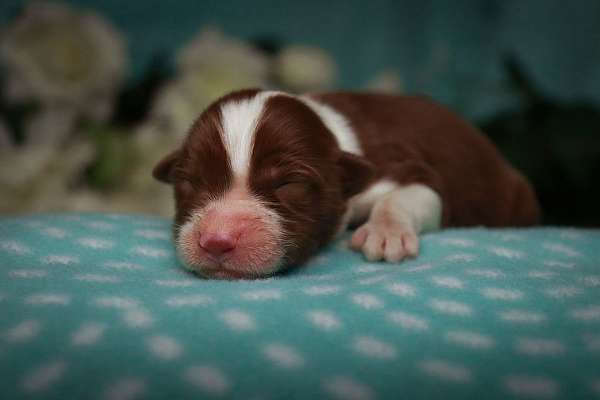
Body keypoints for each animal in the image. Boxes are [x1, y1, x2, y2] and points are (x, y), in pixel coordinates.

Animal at [152, 89, 540, 280]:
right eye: (188, 181)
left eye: (289, 183)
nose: (216, 241)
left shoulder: (401, 167)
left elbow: (412, 194)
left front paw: (385, 232)